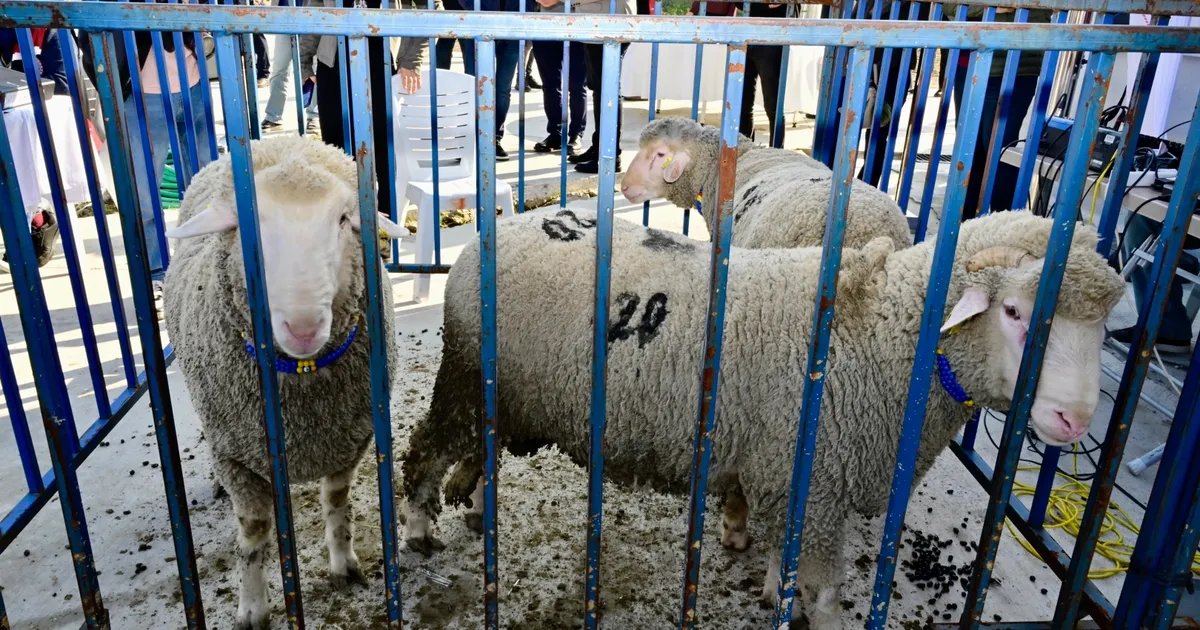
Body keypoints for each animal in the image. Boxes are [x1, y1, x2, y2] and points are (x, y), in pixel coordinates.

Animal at [162, 133, 410, 628]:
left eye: (342, 219)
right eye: (251, 226)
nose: (303, 327)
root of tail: (277, 137)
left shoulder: (348, 441)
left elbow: (337, 501)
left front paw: (343, 564)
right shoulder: (236, 458)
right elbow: (254, 533)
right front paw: (252, 606)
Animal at [400, 206, 1123, 624]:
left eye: (1103, 326)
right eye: (1015, 312)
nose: (1074, 421)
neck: (883, 335)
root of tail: (489, 233)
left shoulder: (786, 473)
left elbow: (783, 554)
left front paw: (768, 573)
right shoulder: (818, 481)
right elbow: (825, 594)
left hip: (502, 392)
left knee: (481, 446)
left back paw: (478, 505)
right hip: (465, 374)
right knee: (427, 448)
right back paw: (418, 529)